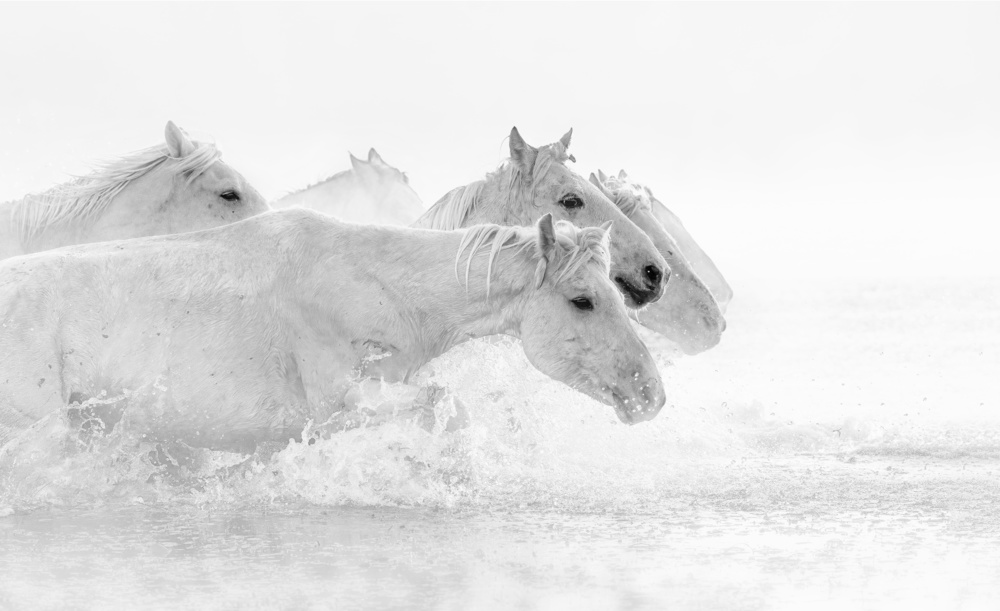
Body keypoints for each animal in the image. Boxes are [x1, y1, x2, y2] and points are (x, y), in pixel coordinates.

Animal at [0, 209, 665, 453]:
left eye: (619, 296)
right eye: (582, 301)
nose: (651, 395)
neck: (378, 286)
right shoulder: (340, 406)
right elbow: (447, 405)